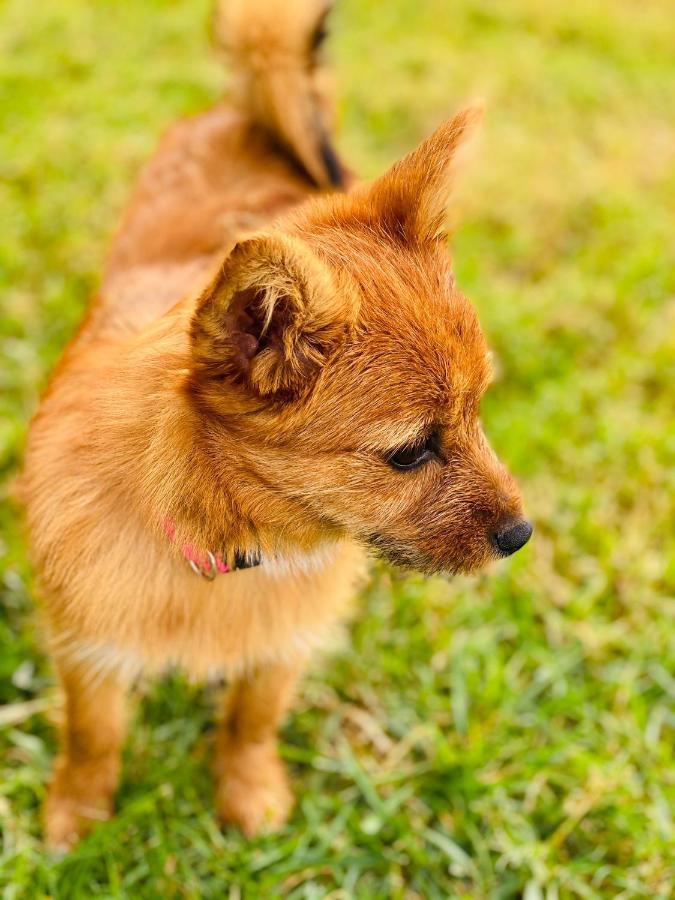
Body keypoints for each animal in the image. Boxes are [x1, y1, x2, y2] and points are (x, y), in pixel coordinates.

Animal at [18, 0, 532, 852]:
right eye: (409, 452)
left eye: (478, 410)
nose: (521, 536)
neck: (223, 542)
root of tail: (249, 117)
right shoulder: (89, 645)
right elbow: (94, 736)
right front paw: (78, 814)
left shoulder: (280, 644)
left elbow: (251, 720)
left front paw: (248, 792)